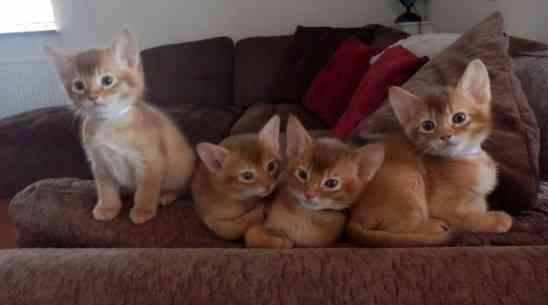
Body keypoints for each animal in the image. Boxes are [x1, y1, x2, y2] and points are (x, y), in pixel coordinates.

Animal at [44, 30, 195, 223]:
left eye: (107, 80)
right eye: (79, 85)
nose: (93, 97)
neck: (109, 124)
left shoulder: (149, 163)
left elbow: (146, 190)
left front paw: (143, 210)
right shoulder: (99, 164)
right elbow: (106, 190)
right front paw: (108, 207)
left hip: (181, 170)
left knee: (182, 189)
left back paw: (167, 195)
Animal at [246, 116, 384, 247]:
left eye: (331, 183)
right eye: (302, 174)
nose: (309, 194)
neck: (304, 217)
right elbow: (251, 234)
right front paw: (280, 240)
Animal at [348, 58, 512, 245]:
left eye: (459, 118)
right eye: (428, 125)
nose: (446, 136)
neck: (466, 158)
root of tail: (352, 218)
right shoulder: (444, 207)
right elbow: (469, 219)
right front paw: (497, 219)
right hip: (408, 177)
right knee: (399, 230)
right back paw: (434, 226)